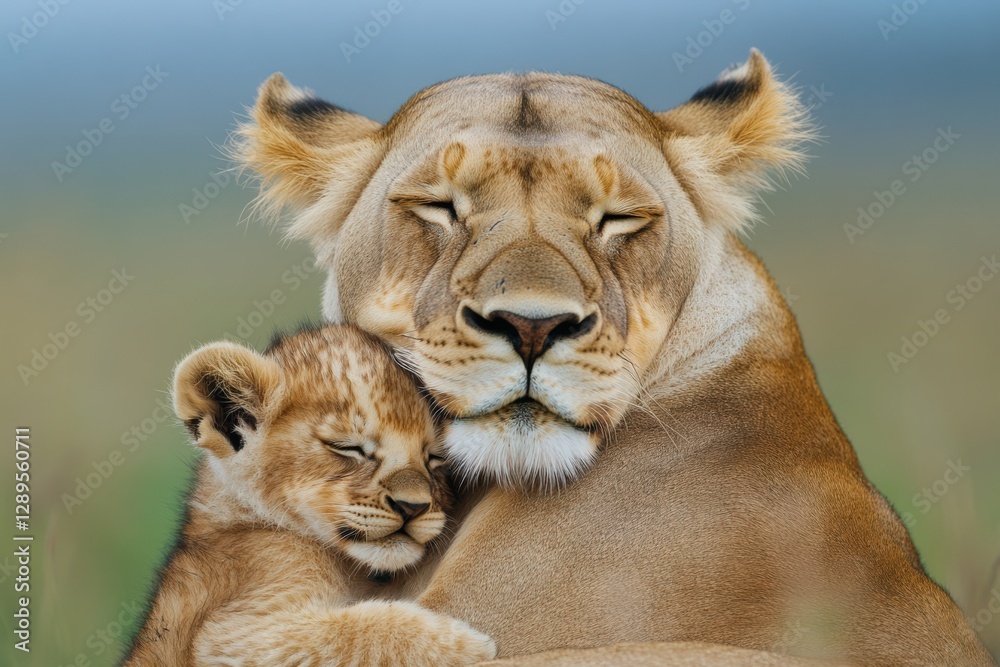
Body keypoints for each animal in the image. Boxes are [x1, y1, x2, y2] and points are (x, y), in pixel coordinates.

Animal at [123, 324, 496, 666]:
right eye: (348, 447)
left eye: (435, 457)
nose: (412, 506)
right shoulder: (231, 633)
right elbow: (349, 635)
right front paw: (468, 644)